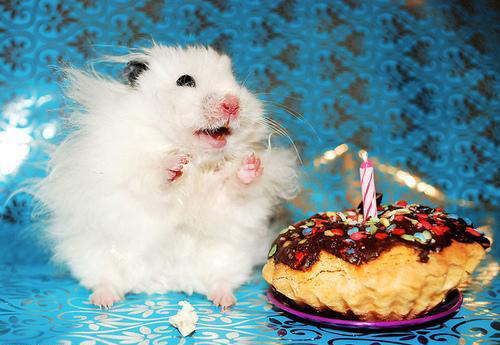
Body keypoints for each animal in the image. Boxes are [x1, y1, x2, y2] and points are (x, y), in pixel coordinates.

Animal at [37, 44, 300, 308]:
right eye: (184, 80)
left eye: (234, 80)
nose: (232, 104)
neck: (198, 159)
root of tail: (163, 284)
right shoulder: (128, 169)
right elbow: (151, 178)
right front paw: (175, 164)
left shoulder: (223, 198)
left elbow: (231, 187)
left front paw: (252, 163)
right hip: (91, 256)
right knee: (104, 279)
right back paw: (104, 300)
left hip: (229, 258)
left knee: (220, 281)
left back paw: (224, 301)